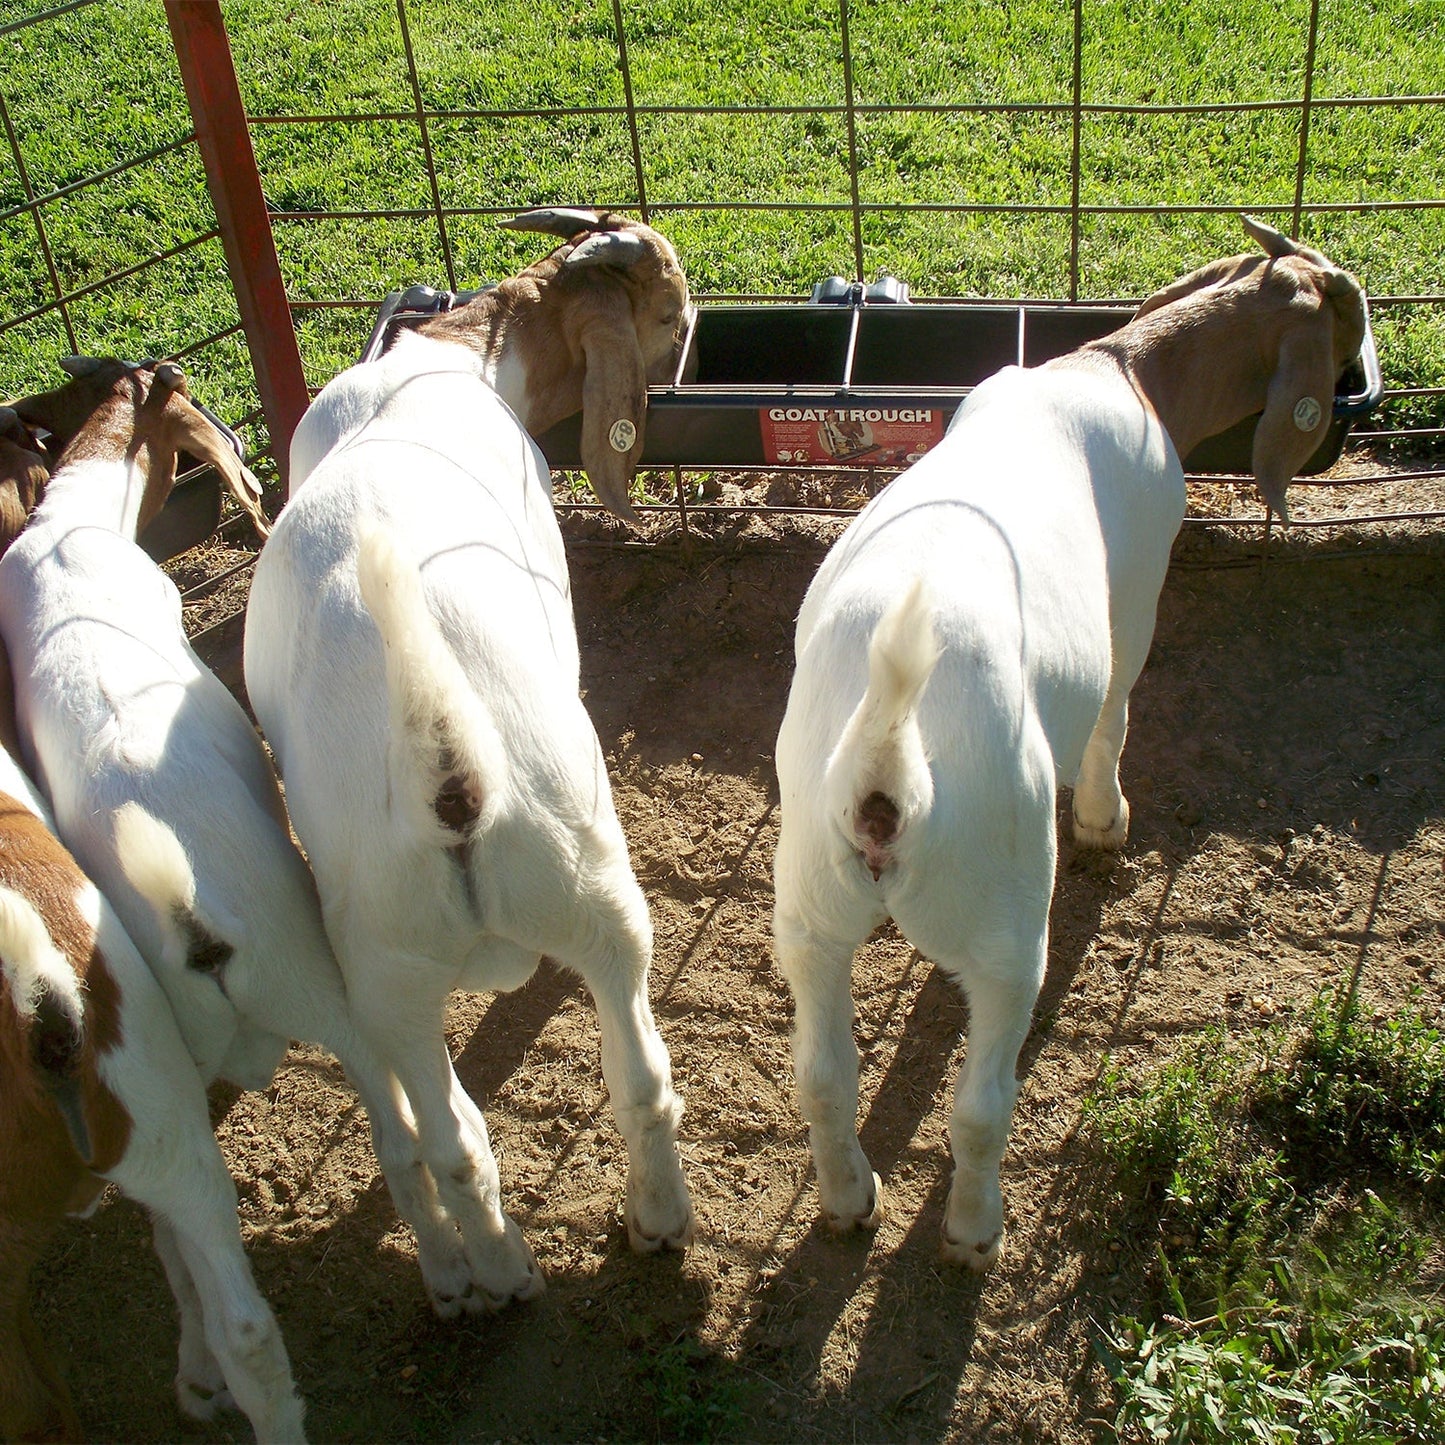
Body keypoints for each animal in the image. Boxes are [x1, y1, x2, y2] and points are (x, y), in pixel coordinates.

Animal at [243, 209, 695, 1311]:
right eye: (666, 314)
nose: (694, 330)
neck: (452, 357)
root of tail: (447, 777)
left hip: (393, 979)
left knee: (459, 1137)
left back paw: (504, 1269)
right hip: (594, 903)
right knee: (633, 1074)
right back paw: (644, 1226)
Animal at [771, 217, 1367, 1268]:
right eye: (1342, 320)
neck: (1124, 368)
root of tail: (887, 767)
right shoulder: (1136, 587)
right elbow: (1115, 707)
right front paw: (1104, 820)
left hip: (806, 906)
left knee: (823, 1078)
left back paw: (850, 1200)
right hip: (1007, 921)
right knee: (980, 1104)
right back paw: (974, 1231)